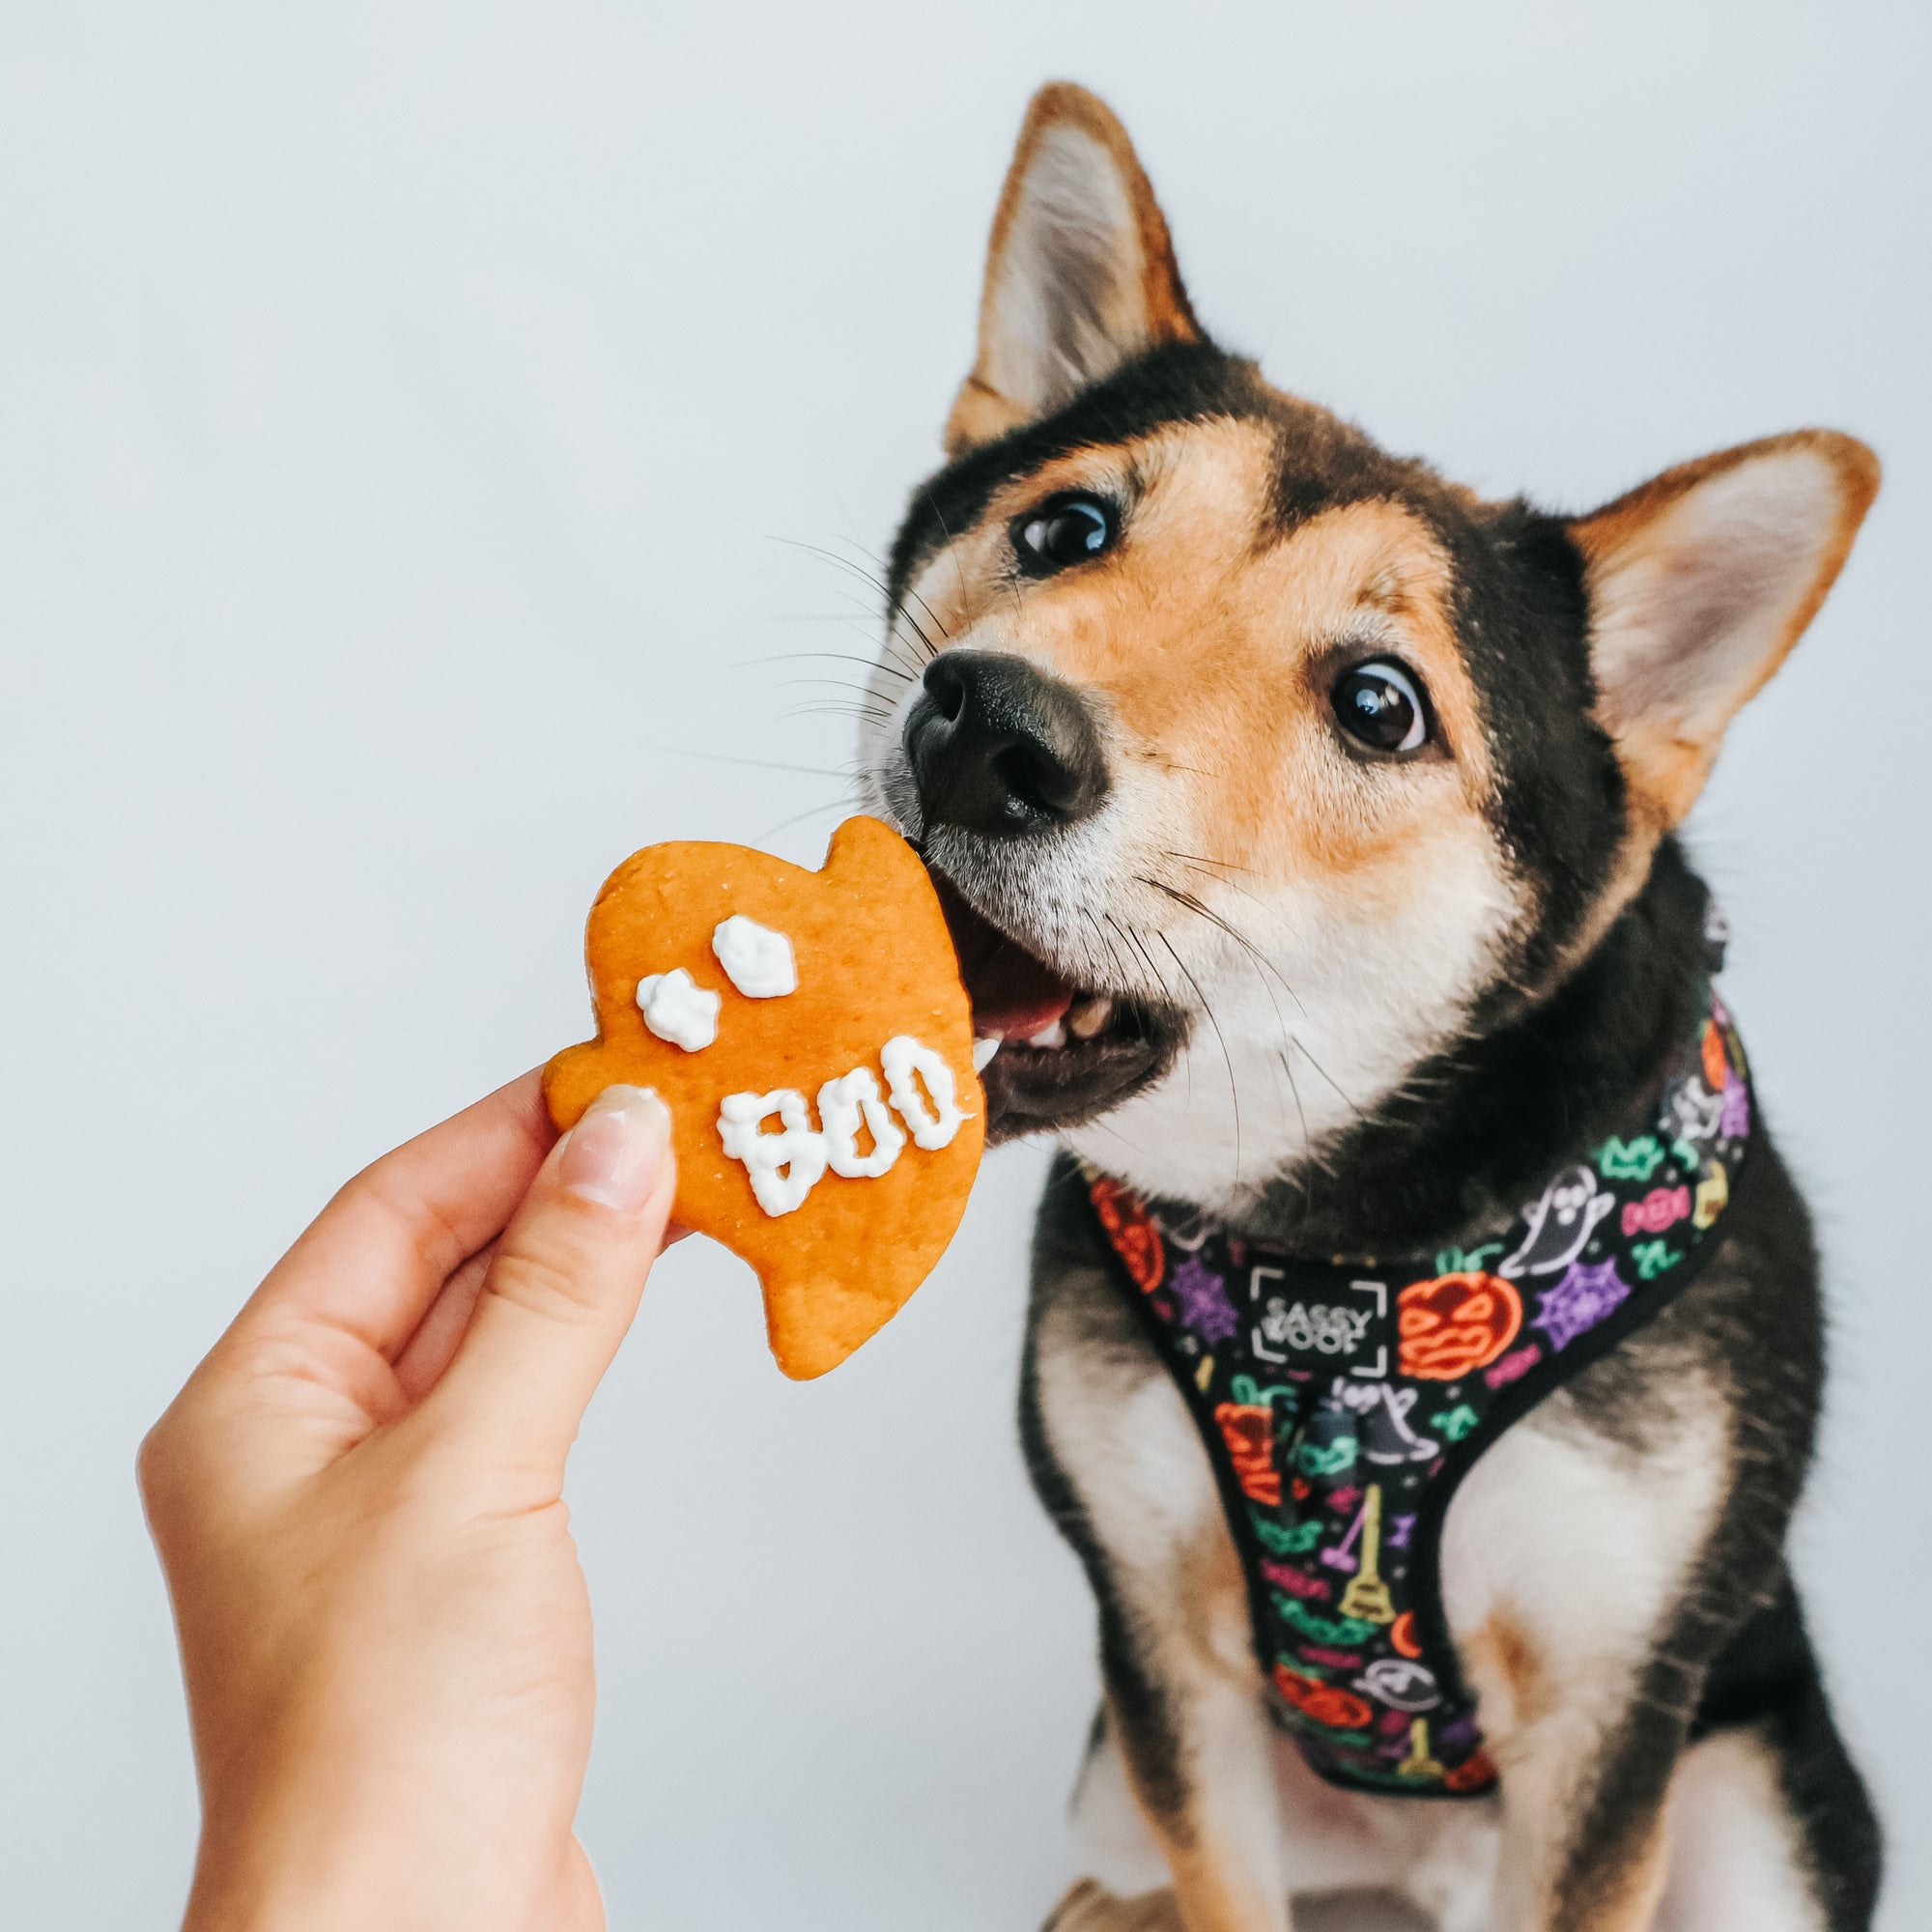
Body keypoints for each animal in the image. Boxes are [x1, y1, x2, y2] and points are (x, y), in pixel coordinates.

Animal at [858, 79, 1870, 1932]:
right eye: (1063, 530)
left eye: (1382, 705)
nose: (990, 731)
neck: (1344, 1244)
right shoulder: (1162, 1650)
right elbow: (1220, 1882)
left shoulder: (1612, 1710)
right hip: (1114, 1771)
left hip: (1759, 1806)